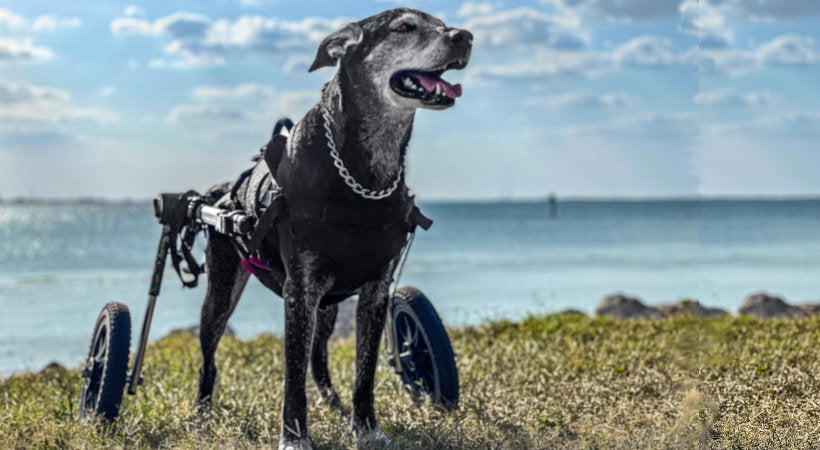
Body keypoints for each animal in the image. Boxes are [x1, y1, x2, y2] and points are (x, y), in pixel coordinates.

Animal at [195, 8, 470, 448]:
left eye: (443, 22)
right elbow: (292, 377)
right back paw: (202, 416)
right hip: (222, 289)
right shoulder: (300, 291)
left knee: (318, 359)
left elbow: (364, 372)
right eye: (404, 27)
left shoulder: (375, 291)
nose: (465, 37)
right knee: (209, 357)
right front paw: (294, 436)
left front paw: (367, 429)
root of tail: (222, 191)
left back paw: (335, 405)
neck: (363, 174)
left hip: (327, 307)